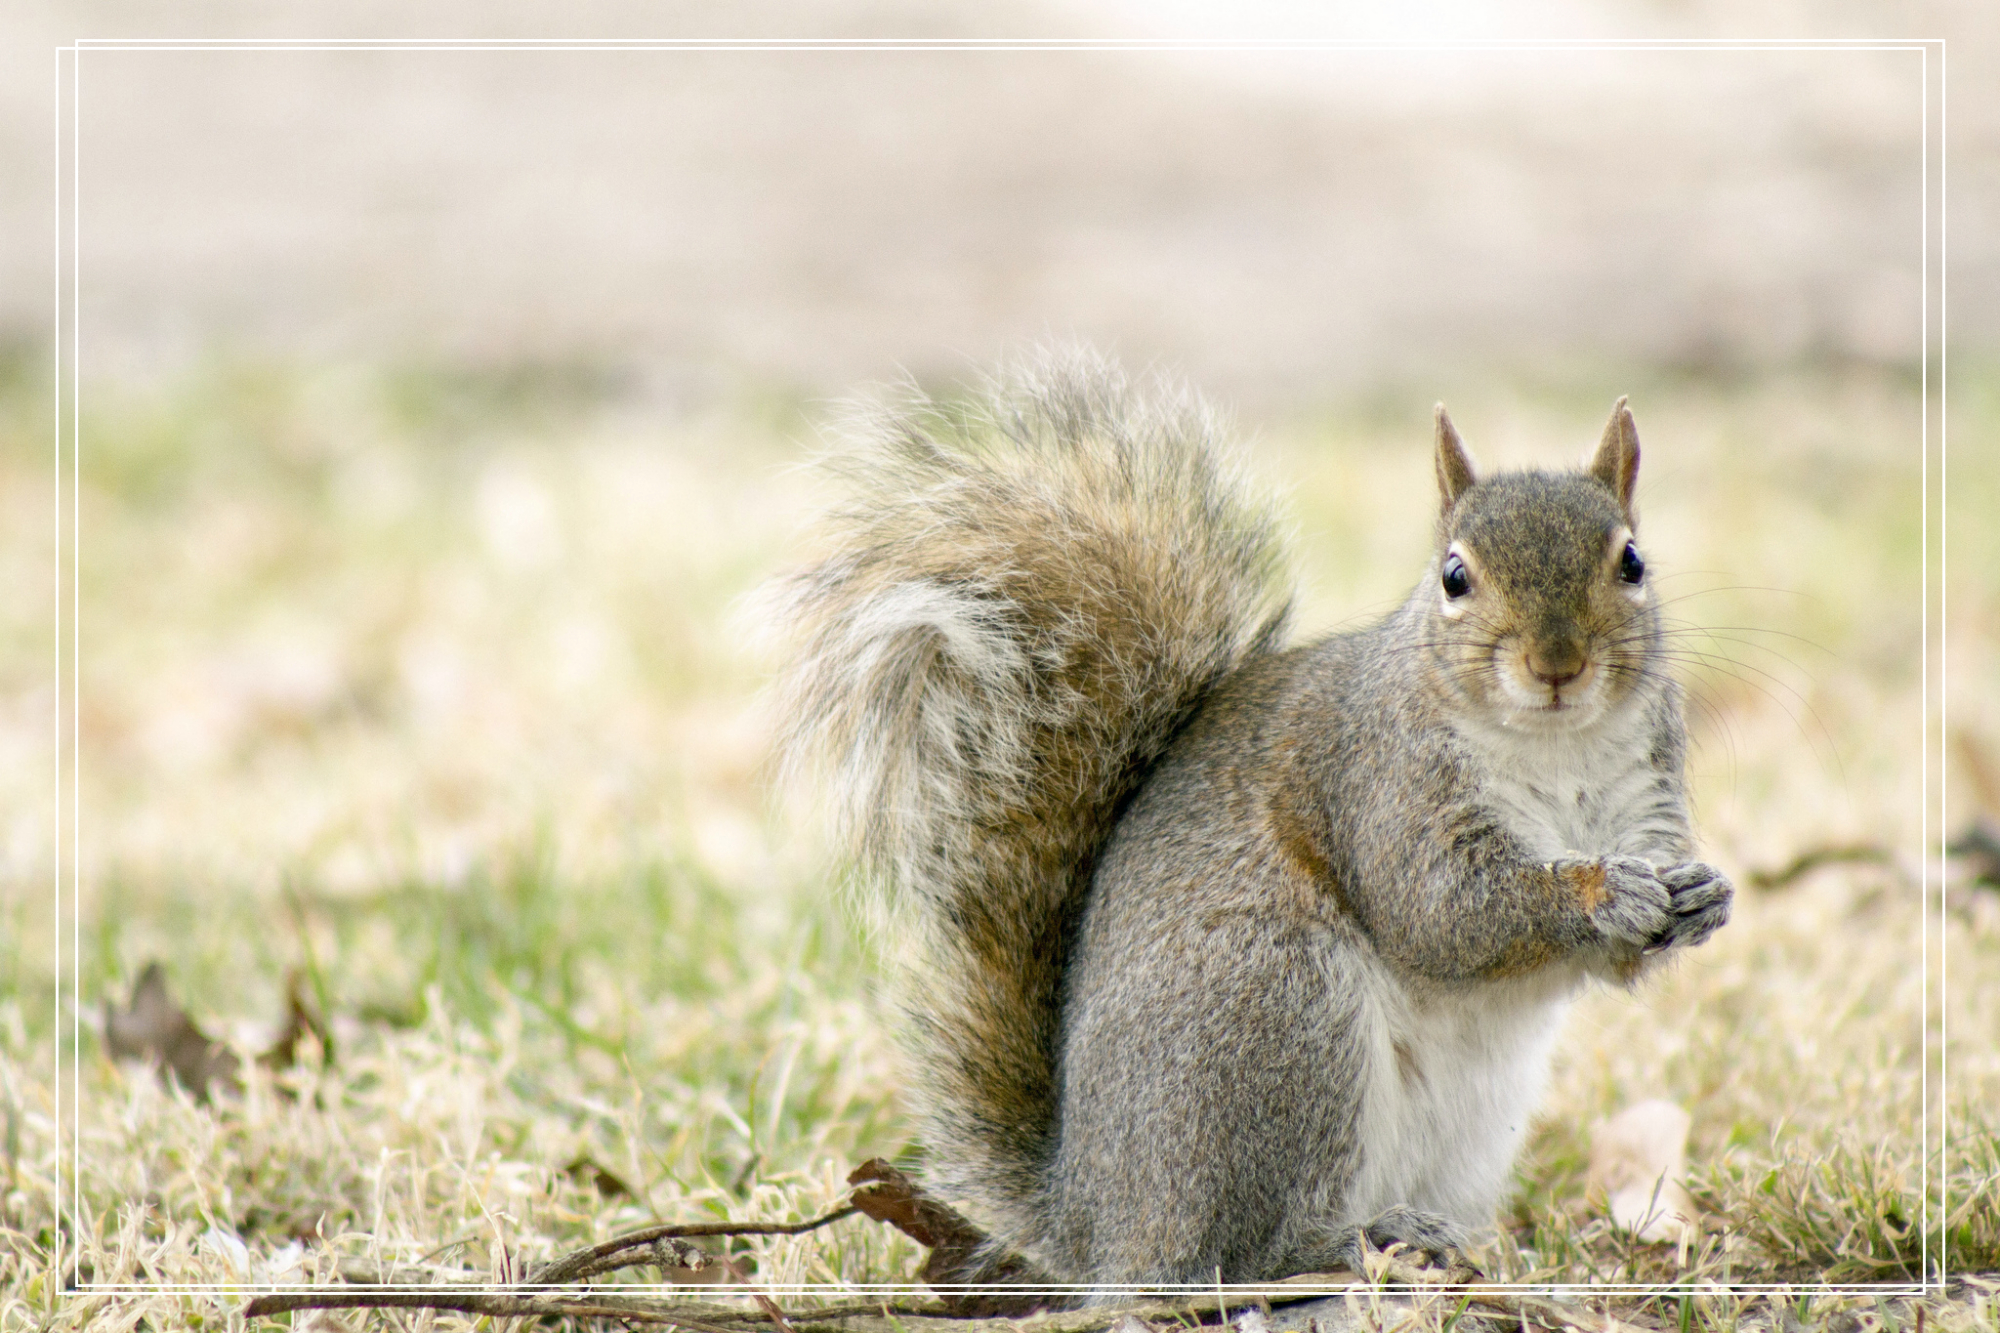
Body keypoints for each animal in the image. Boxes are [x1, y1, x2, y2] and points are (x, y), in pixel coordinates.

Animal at [756, 348, 1728, 1288]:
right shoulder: (1379, 782)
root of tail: (1092, 1220)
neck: (1555, 746)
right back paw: (1361, 1238)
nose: (1557, 662)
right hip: (1276, 1014)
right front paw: (1600, 893)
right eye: (1455, 576)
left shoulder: (1645, 787)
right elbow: (1443, 913)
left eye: (1632, 562)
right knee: (1240, 1250)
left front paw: (1703, 893)